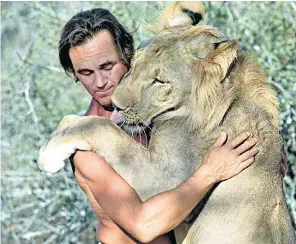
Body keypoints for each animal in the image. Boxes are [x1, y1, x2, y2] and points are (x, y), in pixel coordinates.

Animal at [38, 1, 294, 244]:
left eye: (159, 81)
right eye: (134, 63)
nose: (116, 104)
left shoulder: (164, 179)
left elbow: (103, 129)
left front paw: (49, 154)